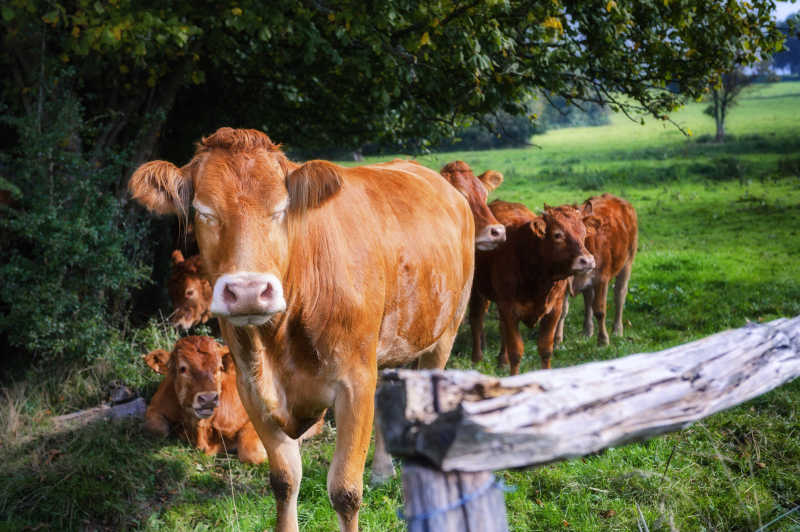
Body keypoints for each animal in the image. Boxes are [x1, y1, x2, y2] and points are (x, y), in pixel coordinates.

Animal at [142, 334, 268, 464]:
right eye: (182, 368)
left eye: (219, 368)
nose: (209, 398)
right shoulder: (154, 407)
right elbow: (157, 430)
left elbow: (251, 454)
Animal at [472, 201, 596, 374]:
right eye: (557, 235)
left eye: (584, 233)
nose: (587, 260)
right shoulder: (509, 309)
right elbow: (516, 352)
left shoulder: (554, 310)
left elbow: (545, 349)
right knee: (477, 318)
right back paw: (476, 359)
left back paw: (502, 360)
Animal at [564, 193, 640, 348]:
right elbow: (562, 311)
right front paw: (556, 342)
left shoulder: (602, 278)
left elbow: (600, 310)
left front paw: (603, 340)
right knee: (588, 300)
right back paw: (587, 331)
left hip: (627, 261)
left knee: (620, 294)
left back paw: (617, 330)